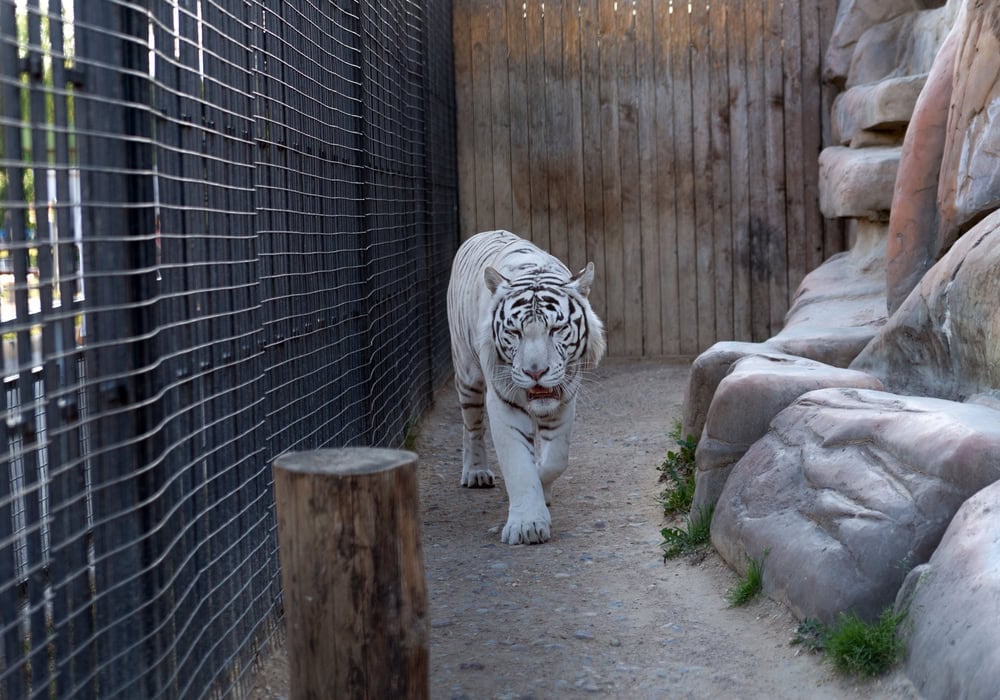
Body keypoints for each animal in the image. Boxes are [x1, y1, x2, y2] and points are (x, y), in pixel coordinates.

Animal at [446, 230, 606, 545]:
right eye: (514, 332)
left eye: (556, 329)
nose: (536, 372)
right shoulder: (503, 402)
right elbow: (519, 466)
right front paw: (527, 525)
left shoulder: (565, 398)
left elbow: (555, 459)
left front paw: (542, 488)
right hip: (467, 375)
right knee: (471, 424)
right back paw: (476, 471)